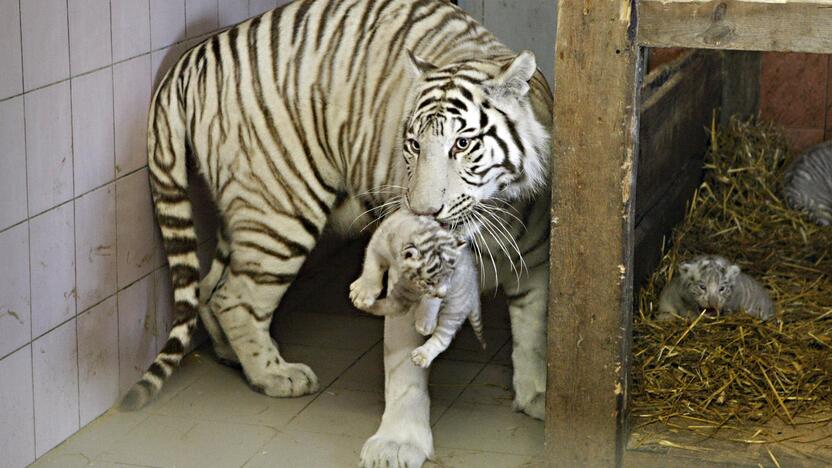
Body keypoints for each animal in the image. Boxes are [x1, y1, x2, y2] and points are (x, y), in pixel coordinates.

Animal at [122, 1, 552, 466]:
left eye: (462, 145)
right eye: (413, 144)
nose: (423, 212)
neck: (491, 218)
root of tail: (190, 58)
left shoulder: (538, 262)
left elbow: (533, 334)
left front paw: (539, 398)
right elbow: (405, 370)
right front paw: (398, 443)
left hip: (241, 214)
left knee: (207, 288)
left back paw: (230, 357)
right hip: (278, 209)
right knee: (234, 298)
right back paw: (274, 375)